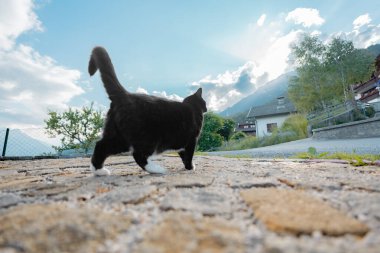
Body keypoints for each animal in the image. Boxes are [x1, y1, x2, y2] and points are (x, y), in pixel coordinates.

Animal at [88, 46, 208, 175]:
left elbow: (183, 155)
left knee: (101, 145)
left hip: (119, 136)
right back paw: (157, 169)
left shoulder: (181, 141)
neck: (192, 106)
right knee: (138, 154)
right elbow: (189, 155)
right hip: (148, 137)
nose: (207, 108)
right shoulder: (191, 140)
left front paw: (187, 166)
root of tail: (125, 95)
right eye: (204, 102)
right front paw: (190, 167)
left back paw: (99, 171)